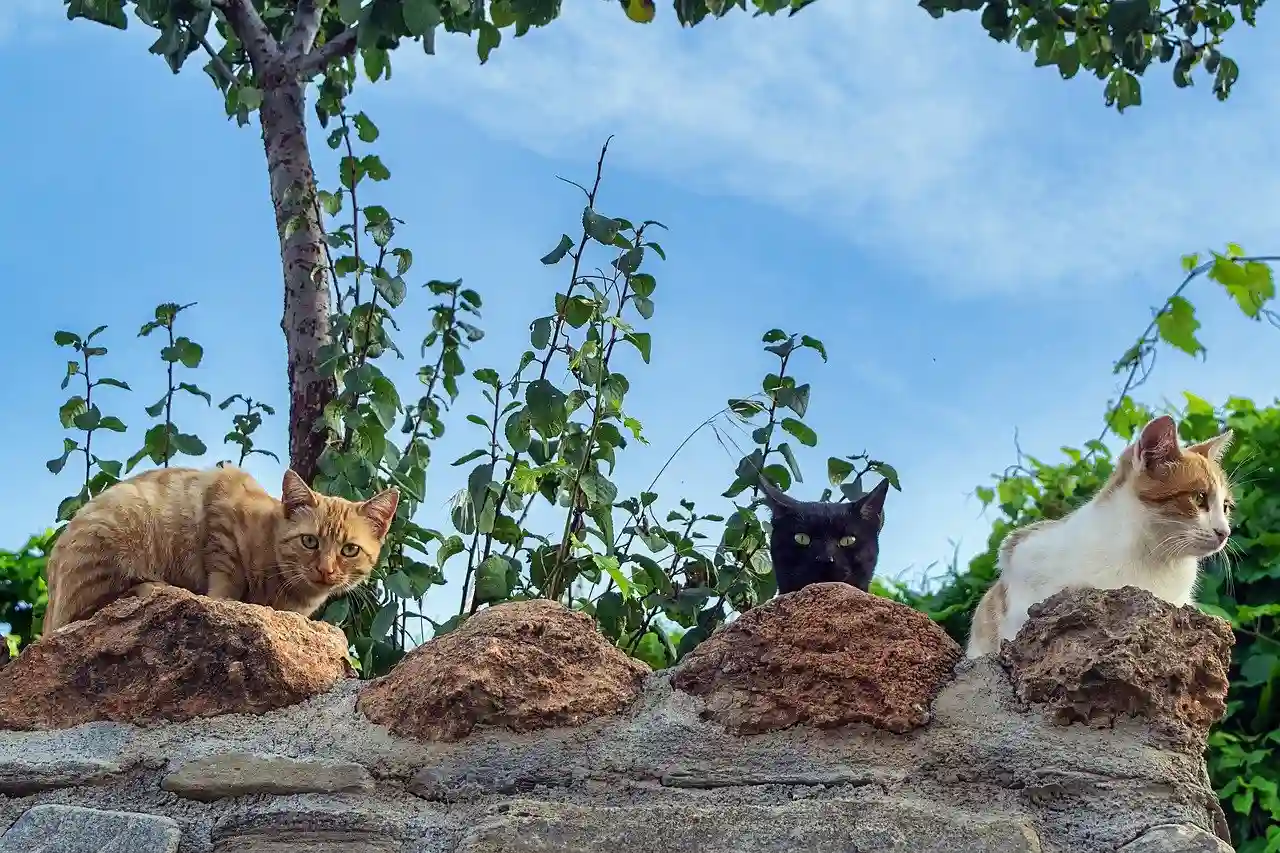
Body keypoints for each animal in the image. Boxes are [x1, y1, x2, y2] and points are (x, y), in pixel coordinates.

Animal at [43, 461, 394, 627]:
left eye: (349, 550)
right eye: (309, 541)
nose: (326, 570)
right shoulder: (223, 509)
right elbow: (226, 579)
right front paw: (227, 605)